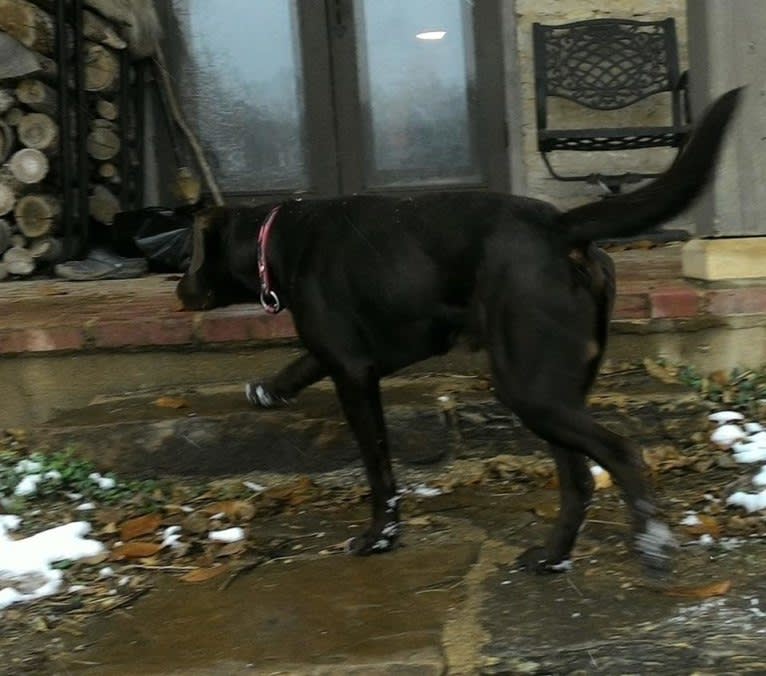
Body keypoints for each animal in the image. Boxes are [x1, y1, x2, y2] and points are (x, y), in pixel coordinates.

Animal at [178, 88, 744, 576]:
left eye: (190, 254)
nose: (179, 290)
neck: (276, 238)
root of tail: (560, 227)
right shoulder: (351, 353)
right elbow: (302, 361)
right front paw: (268, 390)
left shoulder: (355, 374)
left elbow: (378, 469)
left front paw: (380, 537)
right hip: (553, 391)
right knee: (580, 478)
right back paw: (551, 557)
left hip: (530, 388)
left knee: (621, 454)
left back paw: (651, 546)